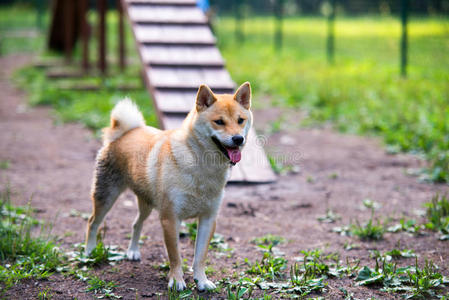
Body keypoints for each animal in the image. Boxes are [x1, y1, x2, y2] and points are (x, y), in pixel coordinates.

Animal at [84, 81, 252, 290]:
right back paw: (89, 252)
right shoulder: (170, 219)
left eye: (240, 120)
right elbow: (176, 256)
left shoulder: (208, 218)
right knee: (93, 222)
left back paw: (132, 252)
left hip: (147, 204)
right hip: (106, 197)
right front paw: (177, 281)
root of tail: (123, 133)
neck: (202, 165)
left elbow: (200, 257)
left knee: (136, 223)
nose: (238, 139)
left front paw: (202, 281)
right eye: (219, 121)